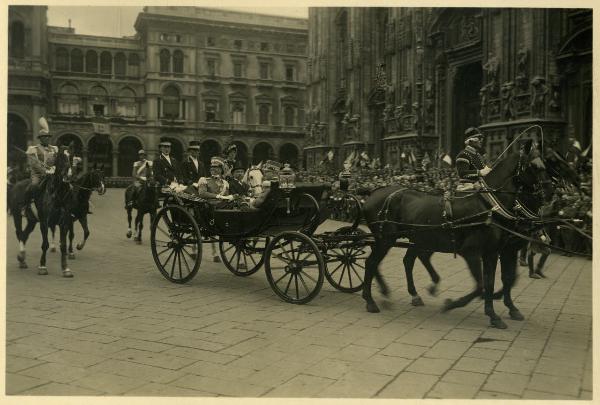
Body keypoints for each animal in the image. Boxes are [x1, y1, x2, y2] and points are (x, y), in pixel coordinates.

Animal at [7, 147, 75, 276]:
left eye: (72, 157)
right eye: (61, 157)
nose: (68, 175)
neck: (57, 195)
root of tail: (16, 185)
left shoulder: (64, 223)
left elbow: (63, 245)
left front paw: (66, 269)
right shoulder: (44, 223)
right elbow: (45, 244)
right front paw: (42, 267)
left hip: (32, 221)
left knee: (24, 235)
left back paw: (22, 260)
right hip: (17, 216)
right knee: (19, 234)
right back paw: (22, 256)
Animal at [360, 142, 552, 328]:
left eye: (545, 165)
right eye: (534, 166)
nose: (549, 193)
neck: (490, 206)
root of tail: (374, 192)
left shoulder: (495, 252)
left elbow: (495, 282)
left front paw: (496, 313)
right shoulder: (472, 252)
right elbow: (482, 285)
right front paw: (452, 304)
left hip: (415, 238)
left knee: (405, 260)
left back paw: (404, 293)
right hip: (386, 239)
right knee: (372, 262)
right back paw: (371, 300)